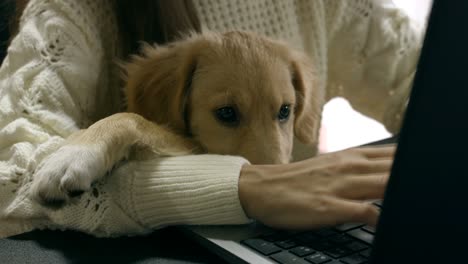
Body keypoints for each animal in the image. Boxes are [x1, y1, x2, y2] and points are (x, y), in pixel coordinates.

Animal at [29, 31, 322, 206]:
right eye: (226, 113)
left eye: (285, 111)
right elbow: (131, 117)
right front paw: (71, 155)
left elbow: (132, 118)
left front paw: (73, 155)